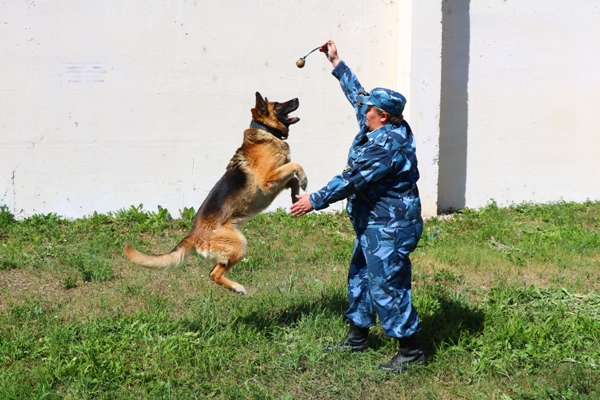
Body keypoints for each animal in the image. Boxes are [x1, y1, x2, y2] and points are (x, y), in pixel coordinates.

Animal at [124, 93, 308, 294]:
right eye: (277, 104)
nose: (297, 98)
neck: (266, 132)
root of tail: (194, 234)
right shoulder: (268, 180)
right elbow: (296, 165)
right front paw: (304, 180)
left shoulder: (276, 181)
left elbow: (292, 178)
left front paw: (296, 196)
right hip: (239, 244)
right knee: (214, 274)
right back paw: (237, 288)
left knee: (213, 271)